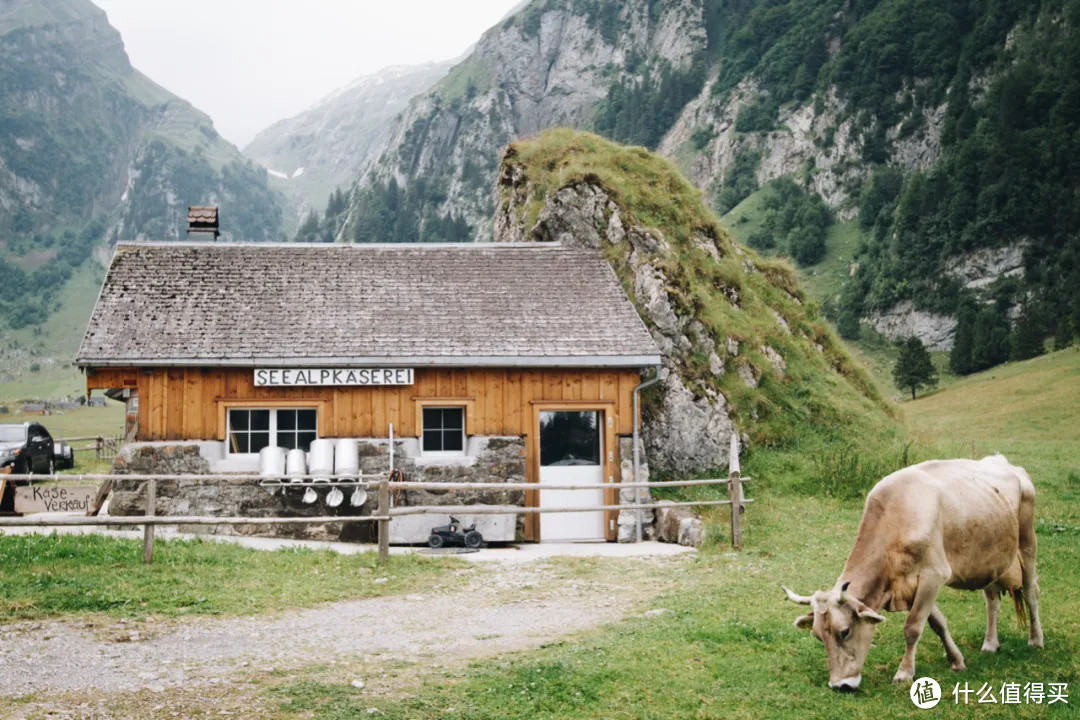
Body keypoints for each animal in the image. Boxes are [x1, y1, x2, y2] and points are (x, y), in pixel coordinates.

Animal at [781, 455, 1041, 690]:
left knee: (1031, 593)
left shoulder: (933, 576)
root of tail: (1005, 462)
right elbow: (938, 623)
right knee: (992, 601)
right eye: (817, 635)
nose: (839, 685)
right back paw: (990, 643)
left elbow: (913, 626)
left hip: (1027, 543)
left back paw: (1036, 640)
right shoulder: (910, 585)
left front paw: (904, 672)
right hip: (990, 559)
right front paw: (956, 660)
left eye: (844, 632)